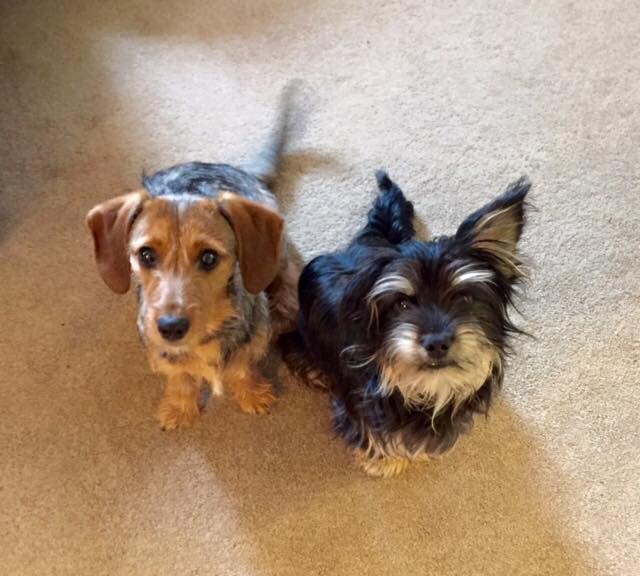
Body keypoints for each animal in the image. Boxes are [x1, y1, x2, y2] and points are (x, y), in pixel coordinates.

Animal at [85, 91, 302, 432]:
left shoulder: (250, 340)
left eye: (209, 257)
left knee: (289, 276)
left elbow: (242, 366)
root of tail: (238, 169)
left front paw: (252, 394)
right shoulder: (162, 353)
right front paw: (179, 407)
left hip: (278, 254)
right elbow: (180, 378)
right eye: (146, 254)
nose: (170, 327)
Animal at [282, 171, 528, 476]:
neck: (424, 390)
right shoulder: (359, 405)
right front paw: (385, 462)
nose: (437, 343)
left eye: (463, 298)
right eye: (401, 304)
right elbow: (375, 434)